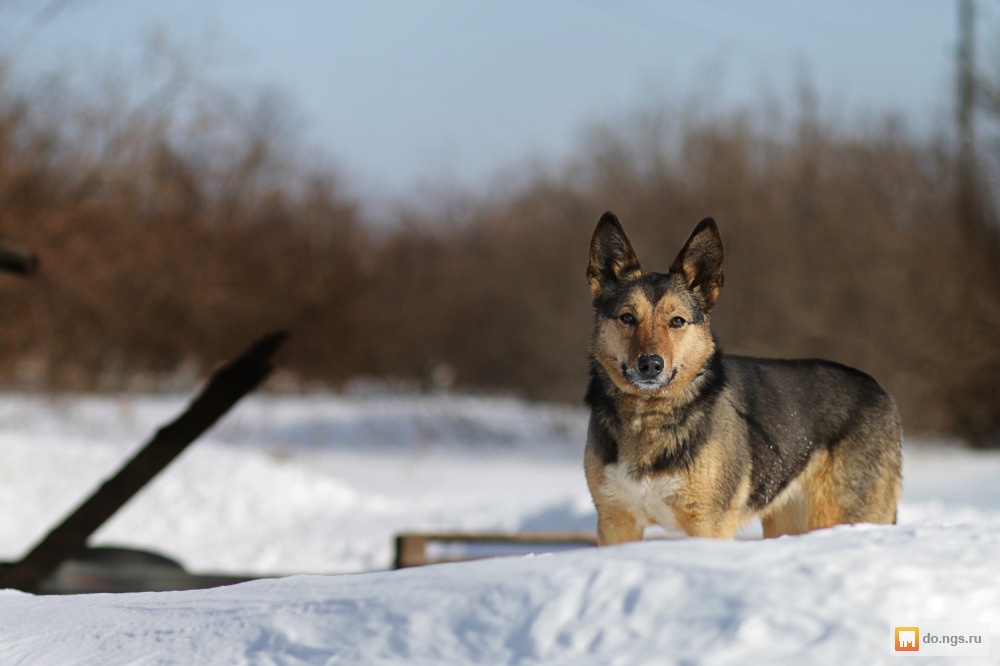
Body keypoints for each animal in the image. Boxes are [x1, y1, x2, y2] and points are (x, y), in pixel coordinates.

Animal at [584, 210, 904, 544]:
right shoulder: (615, 521)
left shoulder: (708, 523)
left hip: (841, 516)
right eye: (627, 318)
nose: (650, 365)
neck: (648, 416)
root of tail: (882, 392)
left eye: (677, 322)